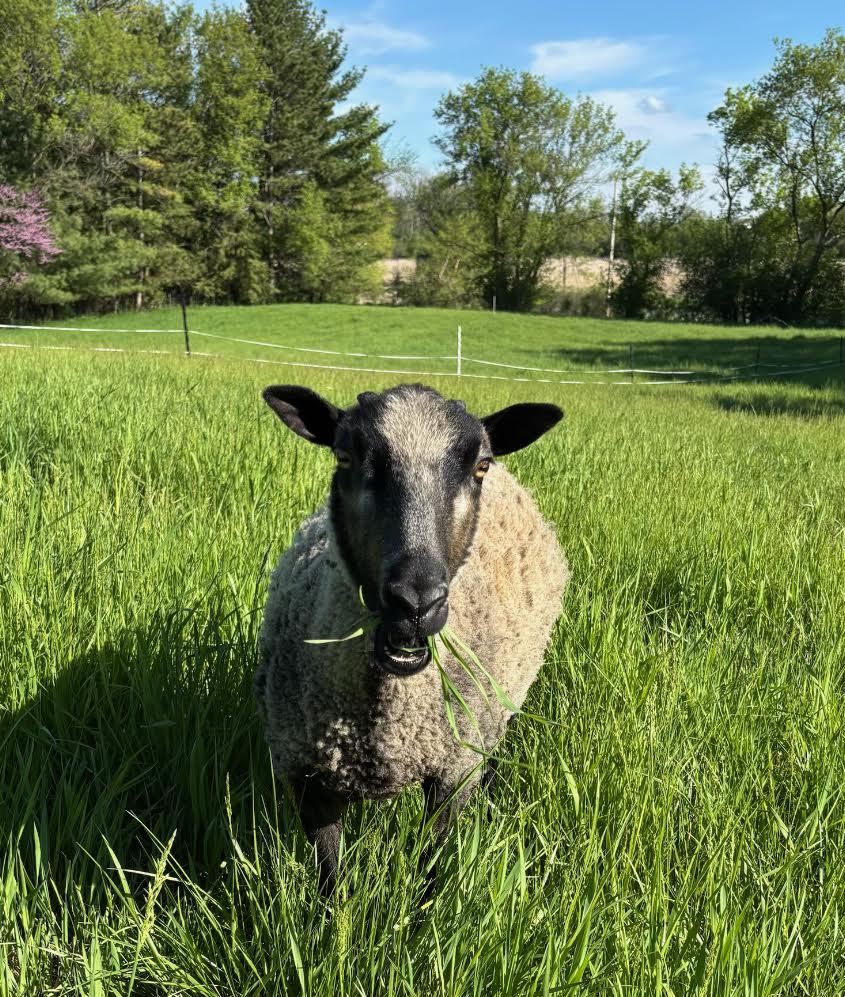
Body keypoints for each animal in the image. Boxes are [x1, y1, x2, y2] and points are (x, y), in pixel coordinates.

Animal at [255, 383, 570, 895]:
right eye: (344, 456)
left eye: (480, 466)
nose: (416, 604)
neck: (383, 717)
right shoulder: (306, 775)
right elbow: (330, 875)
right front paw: (333, 916)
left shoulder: (452, 771)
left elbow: (432, 857)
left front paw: (423, 910)